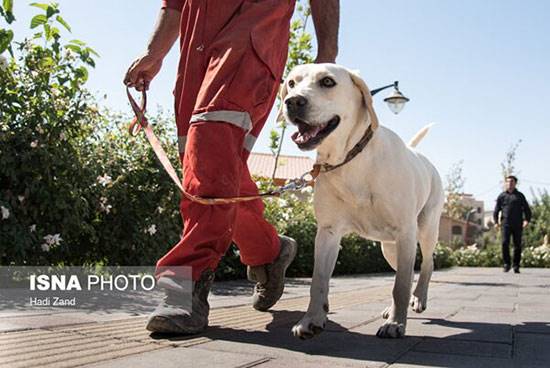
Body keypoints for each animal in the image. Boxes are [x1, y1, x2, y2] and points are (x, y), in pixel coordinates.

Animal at [282, 64, 446, 340]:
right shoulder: (327, 233)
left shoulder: (405, 231)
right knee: (405, 271)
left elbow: (400, 286)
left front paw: (395, 323)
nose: (292, 101)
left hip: (423, 230)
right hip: (390, 248)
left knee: (426, 264)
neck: (351, 159)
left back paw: (418, 298)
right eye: (292, 83)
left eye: (328, 81)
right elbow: (318, 281)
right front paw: (312, 319)